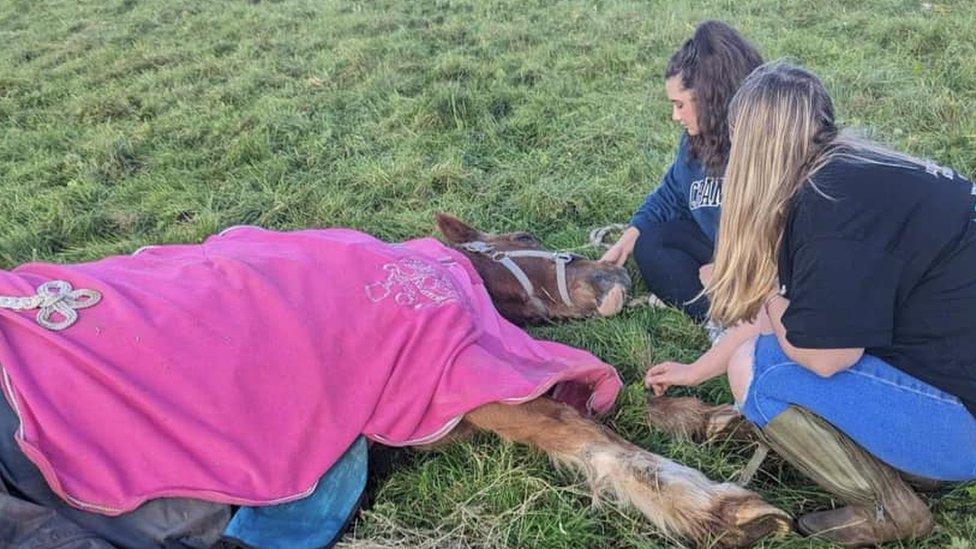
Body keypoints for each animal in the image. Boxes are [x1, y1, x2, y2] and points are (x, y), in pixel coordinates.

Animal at [0, 214, 788, 548]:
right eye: (521, 242)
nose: (614, 276)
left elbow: (606, 399)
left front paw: (712, 418)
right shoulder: (450, 382)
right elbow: (586, 427)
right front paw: (720, 507)